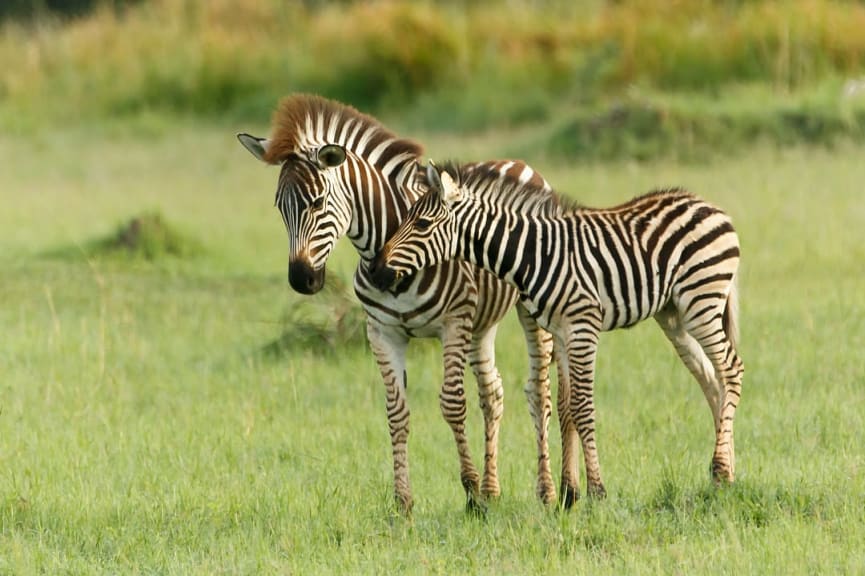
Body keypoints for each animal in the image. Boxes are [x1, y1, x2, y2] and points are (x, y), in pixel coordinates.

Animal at [235, 94, 580, 512]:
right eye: (279, 207)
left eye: (317, 203)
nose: (302, 280)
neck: (383, 250)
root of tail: (518, 163)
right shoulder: (383, 332)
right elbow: (396, 413)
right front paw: (404, 502)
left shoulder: (453, 323)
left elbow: (453, 404)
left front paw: (470, 494)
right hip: (482, 324)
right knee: (492, 394)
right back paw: (494, 489)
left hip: (528, 312)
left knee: (540, 394)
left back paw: (551, 491)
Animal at [372, 163, 744, 500]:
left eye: (421, 224)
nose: (378, 272)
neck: (534, 254)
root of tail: (708, 205)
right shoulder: (563, 332)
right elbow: (569, 406)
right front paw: (575, 491)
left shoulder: (583, 325)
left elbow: (583, 406)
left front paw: (597, 490)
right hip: (674, 315)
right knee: (712, 379)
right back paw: (724, 473)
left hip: (701, 301)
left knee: (732, 369)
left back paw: (721, 468)